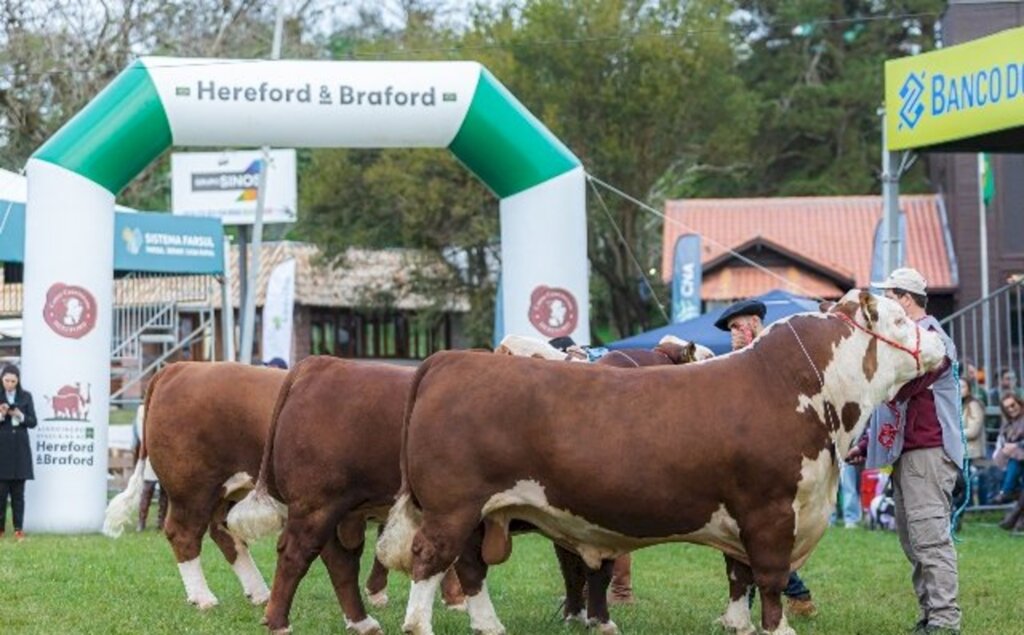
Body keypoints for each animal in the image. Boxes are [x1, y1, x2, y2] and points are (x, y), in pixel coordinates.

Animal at [102, 360, 286, 606]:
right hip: (192, 489)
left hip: (228, 489)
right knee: (184, 532)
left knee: (222, 532)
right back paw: (204, 599)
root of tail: (180, 366)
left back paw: (260, 594)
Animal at [380, 290, 946, 635]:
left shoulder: (745, 513)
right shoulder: (770, 509)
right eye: (900, 320)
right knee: (431, 560)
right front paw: (778, 626)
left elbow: (738, 575)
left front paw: (737, 624)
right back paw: (420, 624)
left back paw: (490, 625)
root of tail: (450, 359)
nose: (940, 338)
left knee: (471, 567)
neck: (807, 391)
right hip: (453, 506)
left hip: (482, 514)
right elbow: (769, 576)